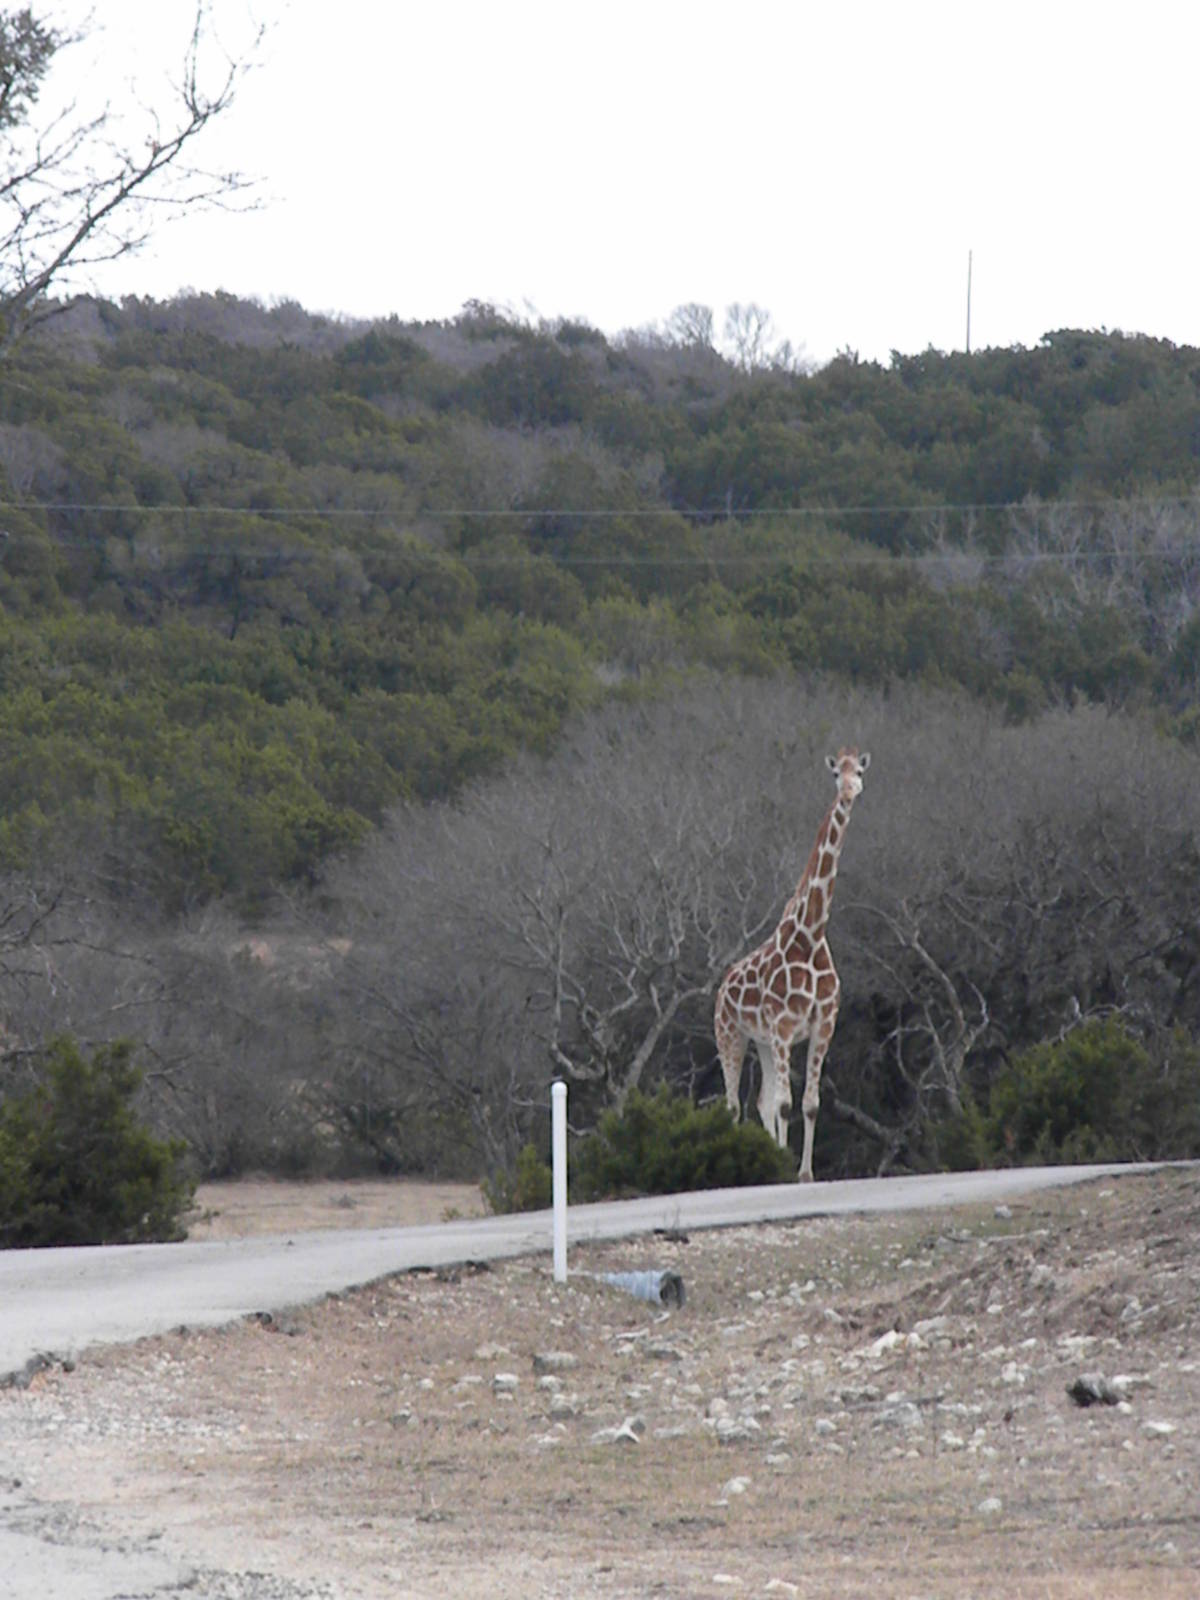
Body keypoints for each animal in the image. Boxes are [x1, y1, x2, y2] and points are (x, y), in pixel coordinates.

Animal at [714, 747, 870, 1182]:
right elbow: (785, 1105)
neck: (810, 936)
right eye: (836, 774)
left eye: (860, 771)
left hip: (762, 1044)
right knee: (733, 1104)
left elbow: (809, 1104)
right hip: (731, 1036)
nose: (849, 791)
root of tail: (721, 989)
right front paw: (786, 1170)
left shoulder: (822, 1025)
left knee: (761, 1100)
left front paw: (803, 1174)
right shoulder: (783, 1028)